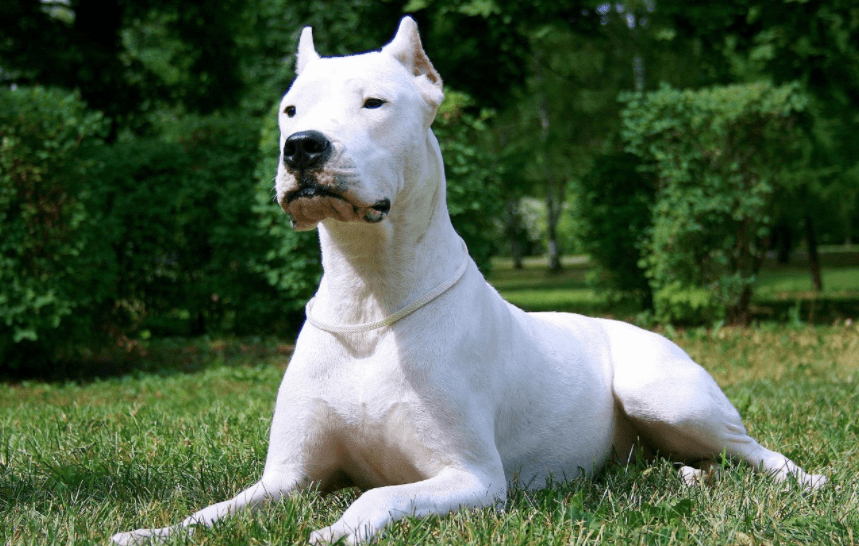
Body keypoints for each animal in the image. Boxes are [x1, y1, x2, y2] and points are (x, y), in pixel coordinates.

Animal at [111, 17, 824, 544]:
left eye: (374, 102)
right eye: (290, 109)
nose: (303, 147)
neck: (369, 297)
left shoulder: (472, 479)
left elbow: (378, 495)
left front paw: (334, 529)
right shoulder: (284, 478)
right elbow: (212, 511)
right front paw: (153, 531)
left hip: (666, 393)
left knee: (754, 451)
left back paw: (807, 481)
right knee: (699, 463)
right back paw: (687, 480)